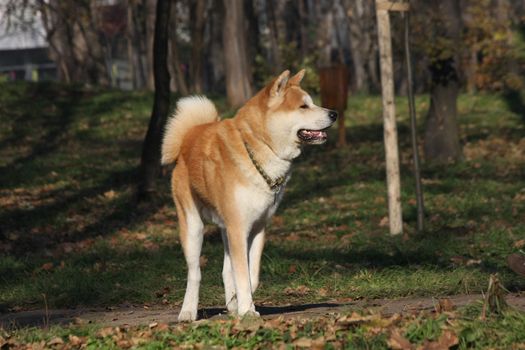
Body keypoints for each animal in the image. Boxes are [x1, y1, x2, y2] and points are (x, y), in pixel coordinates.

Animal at [160, 69, 338, 320]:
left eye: (312, 103)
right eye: (304, 106)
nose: (334, 113)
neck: (259, 145)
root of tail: (188, 136)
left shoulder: (256, 227)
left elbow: (250, 276)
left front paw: (241, 304)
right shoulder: (238, 228)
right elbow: (242, 275)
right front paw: (247, 310)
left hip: (226, 228)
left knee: (226, 271)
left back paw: (232, 306)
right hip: (193, 226)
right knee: (195, 273)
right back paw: (188, 311)